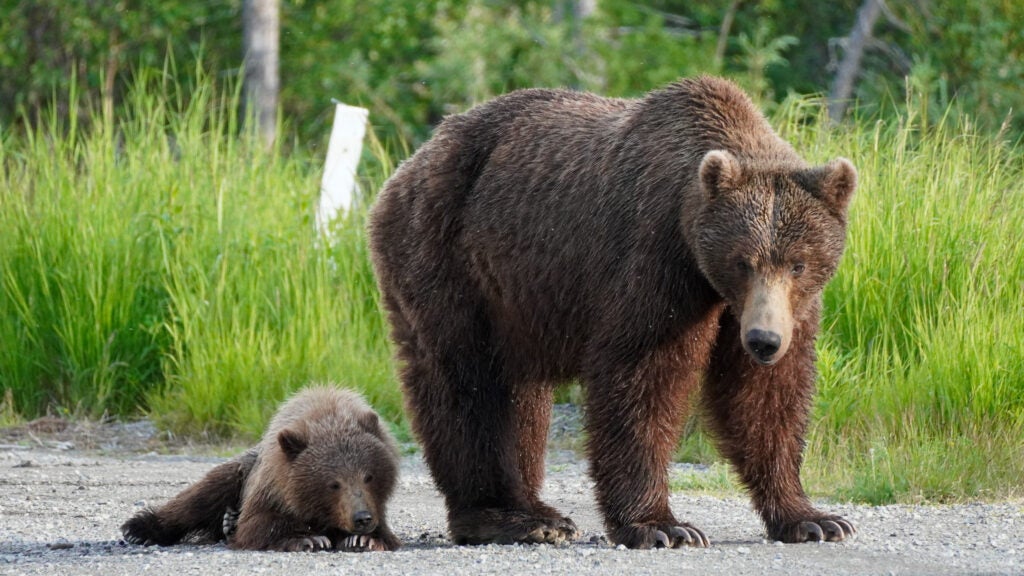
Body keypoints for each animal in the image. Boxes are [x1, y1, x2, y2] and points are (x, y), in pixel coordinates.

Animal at [368, 76, 856, 545]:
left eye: (798, 263)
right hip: (446, 257)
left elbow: (765, 397)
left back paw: (537, 514)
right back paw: (505, 517)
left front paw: (813, 519)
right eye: (742, 261)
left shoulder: (778, 309)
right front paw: (662, 526)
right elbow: (641, 377)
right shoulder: (656, 264)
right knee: (468, 383)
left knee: (520, 394)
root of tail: (409, 164)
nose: (763, 340)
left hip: (518, 302)